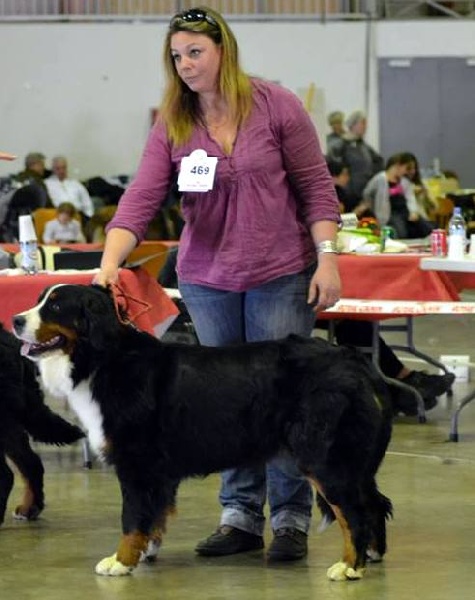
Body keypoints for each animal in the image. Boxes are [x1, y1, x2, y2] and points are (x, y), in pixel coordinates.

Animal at [13, 286, 394, 580]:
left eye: (56, 306)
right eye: (39, 299)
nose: (15, 320)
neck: (102, 359)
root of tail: (353, 361)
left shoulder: (136, 462)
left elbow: (132, 517)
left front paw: (120, 561)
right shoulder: (158, 472)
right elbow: (153, 515)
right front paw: (144, 551)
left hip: (324, 457)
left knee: (353, 511)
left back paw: (350, 566)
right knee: (374, 502)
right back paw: (372, 555)